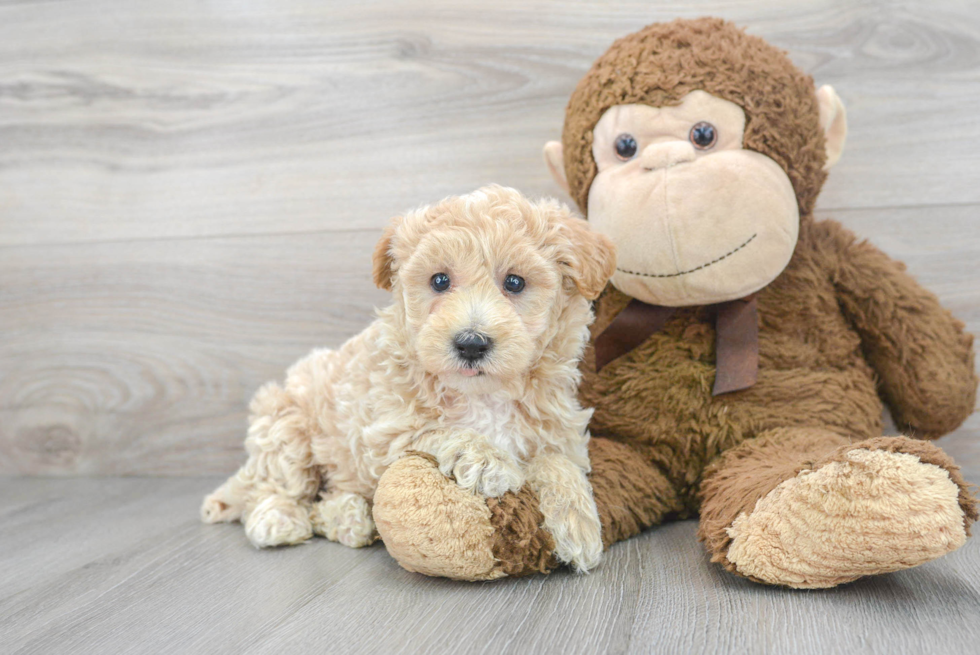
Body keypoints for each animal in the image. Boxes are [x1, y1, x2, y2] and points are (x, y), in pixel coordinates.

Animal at [199, 186, 612, 576]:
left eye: (514, 282)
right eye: (439, 281)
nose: (471, 343)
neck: (483, 394)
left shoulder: (558, 429)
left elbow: (557, 461)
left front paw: (580, 527)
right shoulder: (386, 432)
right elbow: (437, 429)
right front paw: (487, 459)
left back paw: (347, 518)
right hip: (285, 425)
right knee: (276, 486)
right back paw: (279, 519)